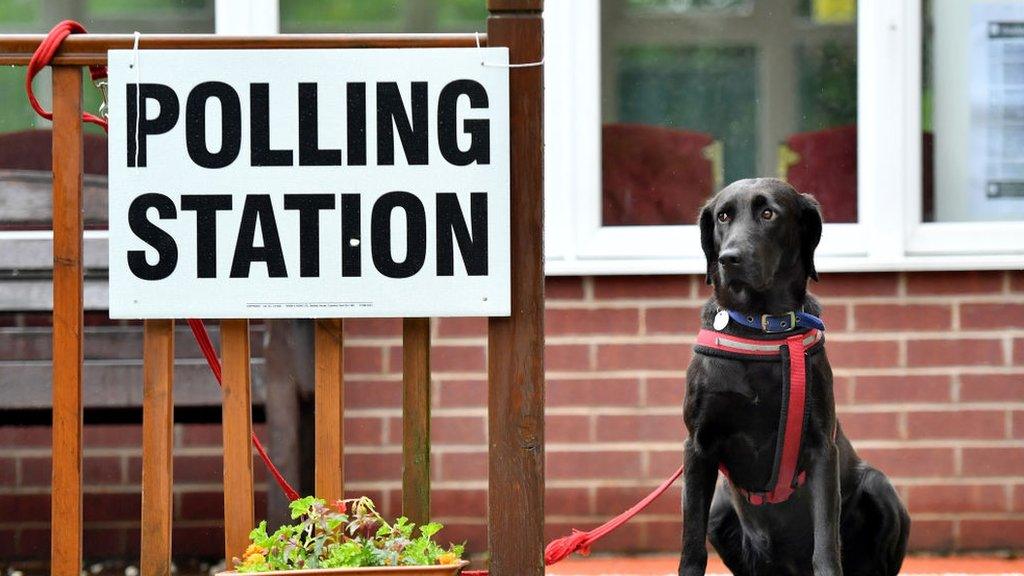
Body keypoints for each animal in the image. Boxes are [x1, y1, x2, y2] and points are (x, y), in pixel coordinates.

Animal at [684, 179, 909, 573]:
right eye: (723, 216)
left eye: (768, 213)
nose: (729, 258)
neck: (761, 328)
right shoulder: (698, 446)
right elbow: (691, 546)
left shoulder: (821, 448)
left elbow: (826, 543)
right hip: (720, 512)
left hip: (878, 486)